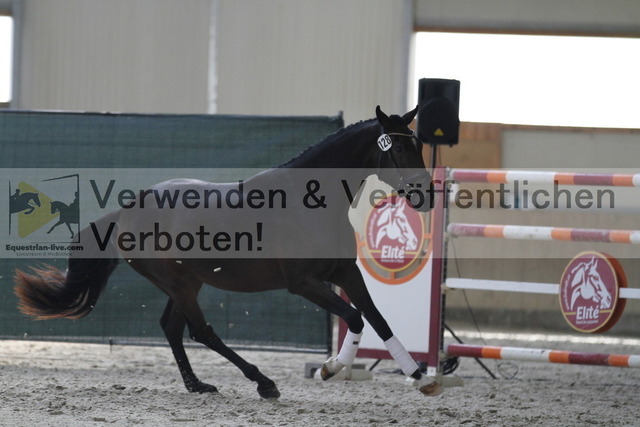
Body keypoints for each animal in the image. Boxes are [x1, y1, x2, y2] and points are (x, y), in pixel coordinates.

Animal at [14, 106, 442, 399]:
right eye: (395, 148)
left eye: (418, 144)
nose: (426, 196)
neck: (311, 203)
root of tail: (126, 211)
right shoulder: (303, 283)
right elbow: (355, 318)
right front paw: (330, 369)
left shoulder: (344, 273)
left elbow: (377, 318)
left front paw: (421, 377)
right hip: (177, 282)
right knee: (200, 331)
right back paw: (263, 383)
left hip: (187, 282)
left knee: (172, 328)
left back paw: (197, 384)